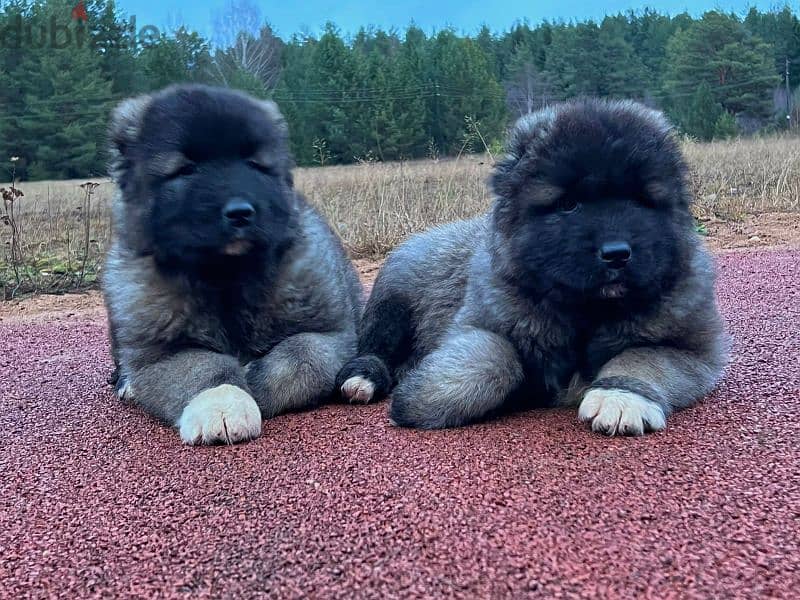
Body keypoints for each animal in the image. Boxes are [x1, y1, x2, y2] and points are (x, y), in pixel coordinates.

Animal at [102, 84, 360, 446]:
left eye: (253, 164)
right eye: (186, 169)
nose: (240, 213)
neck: (226, 274)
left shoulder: (332, 335)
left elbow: (300, 358)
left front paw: (256, 383)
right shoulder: (161, 357)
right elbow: (206, 369)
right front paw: (223, 402)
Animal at [338, 98, 732, 436]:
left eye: (640, 201)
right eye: (569, 205)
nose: (617, 254)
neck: (586, 312)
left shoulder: (696, 351)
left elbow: (643, 356)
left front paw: (620, 397)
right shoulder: (475, 325)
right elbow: (495, 356)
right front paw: (428, 396)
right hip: (393, 304)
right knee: (373, 348)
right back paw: (364, 379)